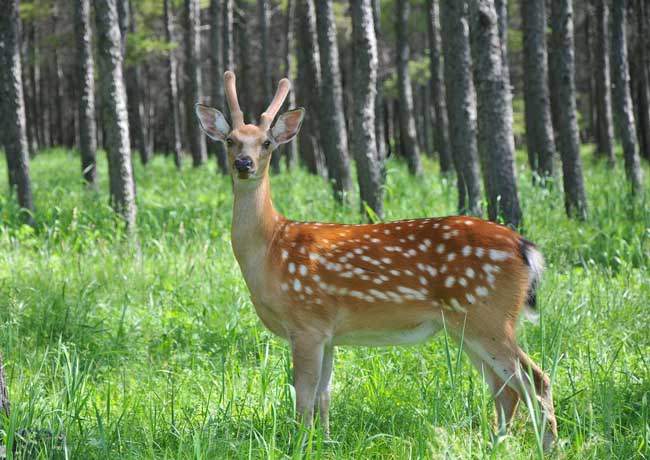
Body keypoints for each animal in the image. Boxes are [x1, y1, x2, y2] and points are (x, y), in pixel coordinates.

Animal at [194, 71, 556, 450]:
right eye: (231, 141)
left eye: (266, 143)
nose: (244, 164)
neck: (271, 250)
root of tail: (525, 247)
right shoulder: (328, 333)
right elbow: (324, 396)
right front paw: (325, 443)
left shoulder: (307, 322)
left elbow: (303, 398)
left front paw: (300, 446)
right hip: (466, 327)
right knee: (506, 390)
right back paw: (495, 444)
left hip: (489, 316)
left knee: (537, 381)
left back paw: (547, 447)